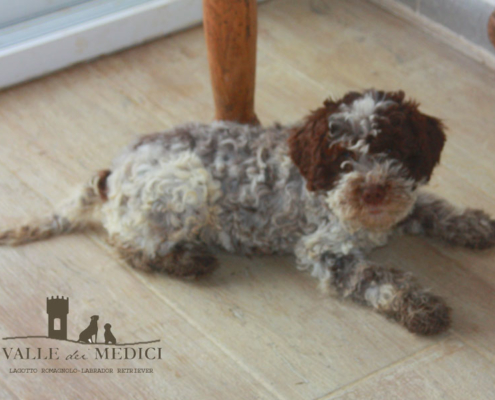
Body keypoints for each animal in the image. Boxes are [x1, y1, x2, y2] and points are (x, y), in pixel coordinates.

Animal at [1, 90, 494, 334]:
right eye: (341, 160)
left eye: (392, 150)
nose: (373, 191)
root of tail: (114, 172)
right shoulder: (322, 248)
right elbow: (376, 277)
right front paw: (422, 306)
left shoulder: (405, 204)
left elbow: (436, 209)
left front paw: (474, 225)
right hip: (186, 186)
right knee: (127, 245)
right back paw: (188, 259)